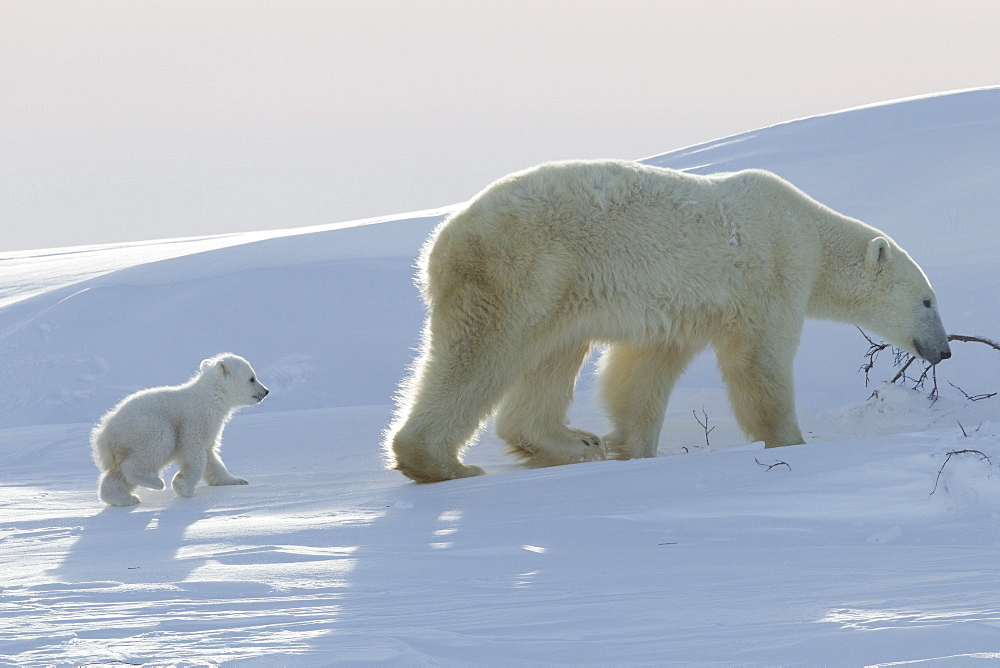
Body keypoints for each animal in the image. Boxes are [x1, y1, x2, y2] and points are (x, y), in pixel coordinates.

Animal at [384, 162, 952, 486]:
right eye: (928, 301)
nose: (945, 350)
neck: (812, 228)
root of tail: (441, 239)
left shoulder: (680, 312)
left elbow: (642, 371)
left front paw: (632, 449)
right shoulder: (774, 268)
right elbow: (759, 361)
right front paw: (791, 443)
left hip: (560, 285)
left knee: (554, 352)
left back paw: (575, 443)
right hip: (522, 268)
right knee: (483, 353)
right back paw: (443, 463)